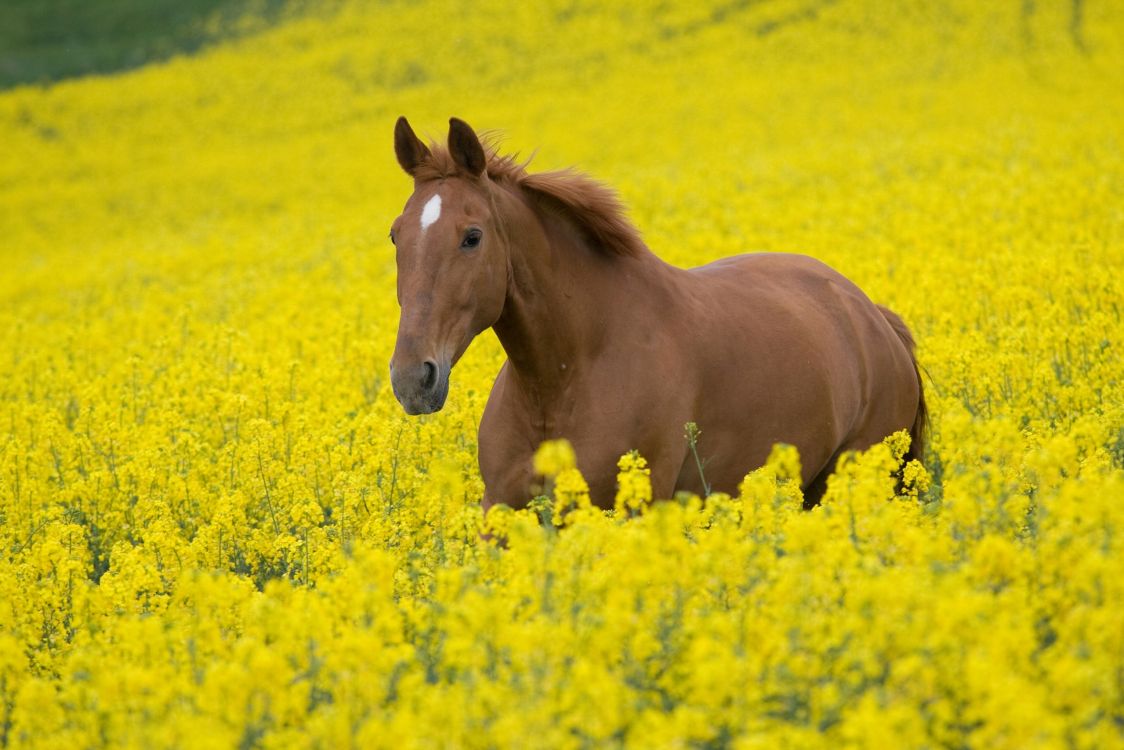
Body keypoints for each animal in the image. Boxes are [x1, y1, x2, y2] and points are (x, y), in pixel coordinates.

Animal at [388, 117, 927, 511]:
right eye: (396, 234)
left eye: (472, 236)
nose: (413, 378)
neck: (563, 378)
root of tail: (872, 316)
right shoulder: (501, 511)